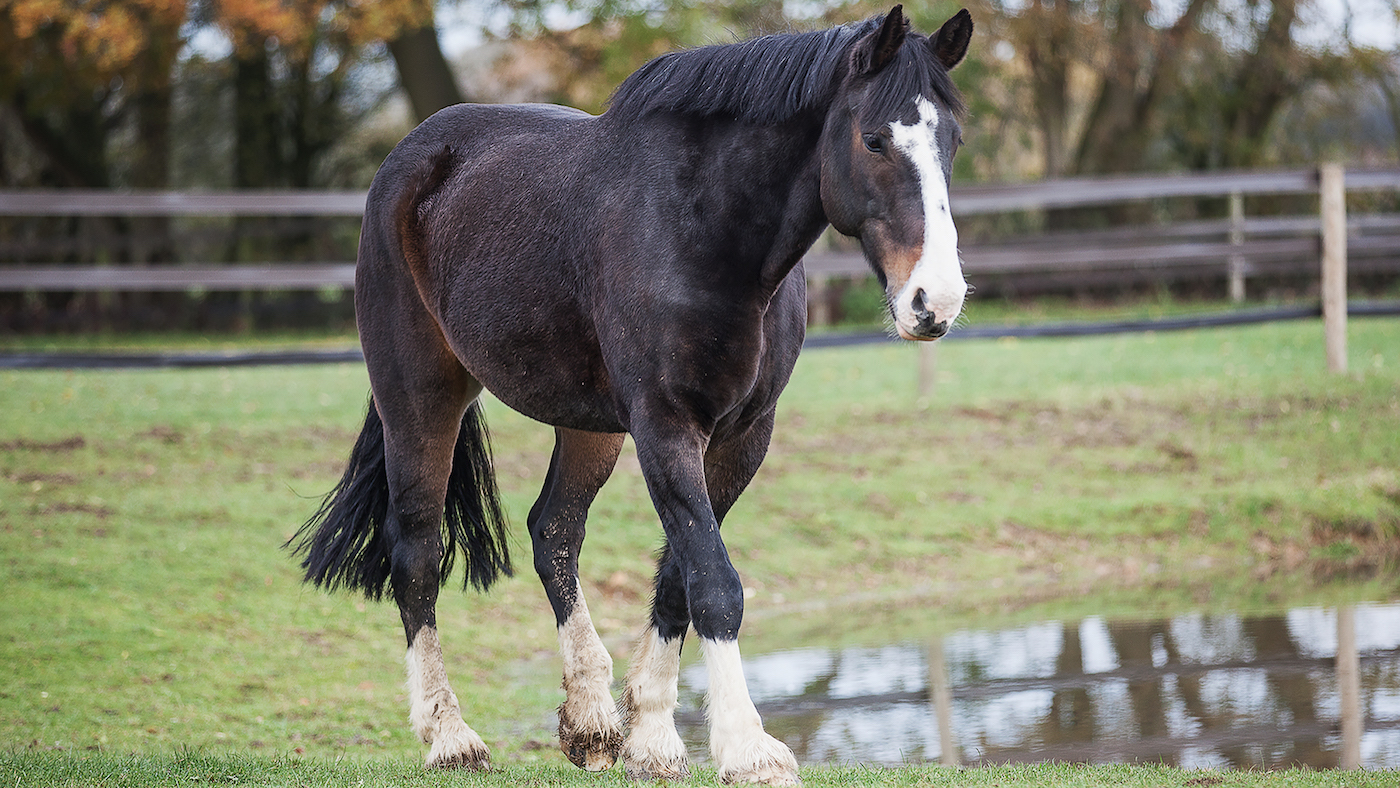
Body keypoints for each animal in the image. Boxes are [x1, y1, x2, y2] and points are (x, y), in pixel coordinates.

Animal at [288, 6, 972, 784]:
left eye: (953, 140)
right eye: (875, 139)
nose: (935, 302)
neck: (703, 231)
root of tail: (410, 159)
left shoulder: (741, 436)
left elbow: (681, 575)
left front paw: (650, 738)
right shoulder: (665, 426)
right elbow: (714, 582)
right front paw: (746, 748)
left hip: (588, 425)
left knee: (553, 531)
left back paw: (589, 721)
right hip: (419, 400)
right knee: (417, 554)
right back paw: (450, 737)